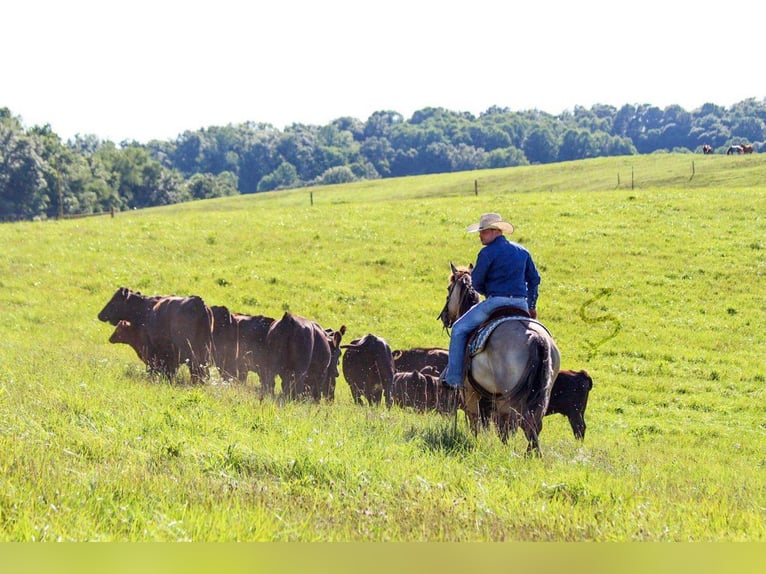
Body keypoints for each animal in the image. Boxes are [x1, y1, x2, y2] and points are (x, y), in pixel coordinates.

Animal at [438, 264, 564, 456]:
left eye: (449, 288)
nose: (445, 316)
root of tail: (536, 337)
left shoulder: (470, 392)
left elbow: (475, 421)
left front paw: (475, 444)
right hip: (541, 393)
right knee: (532, 425)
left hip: (508, 396)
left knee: (514, 426)